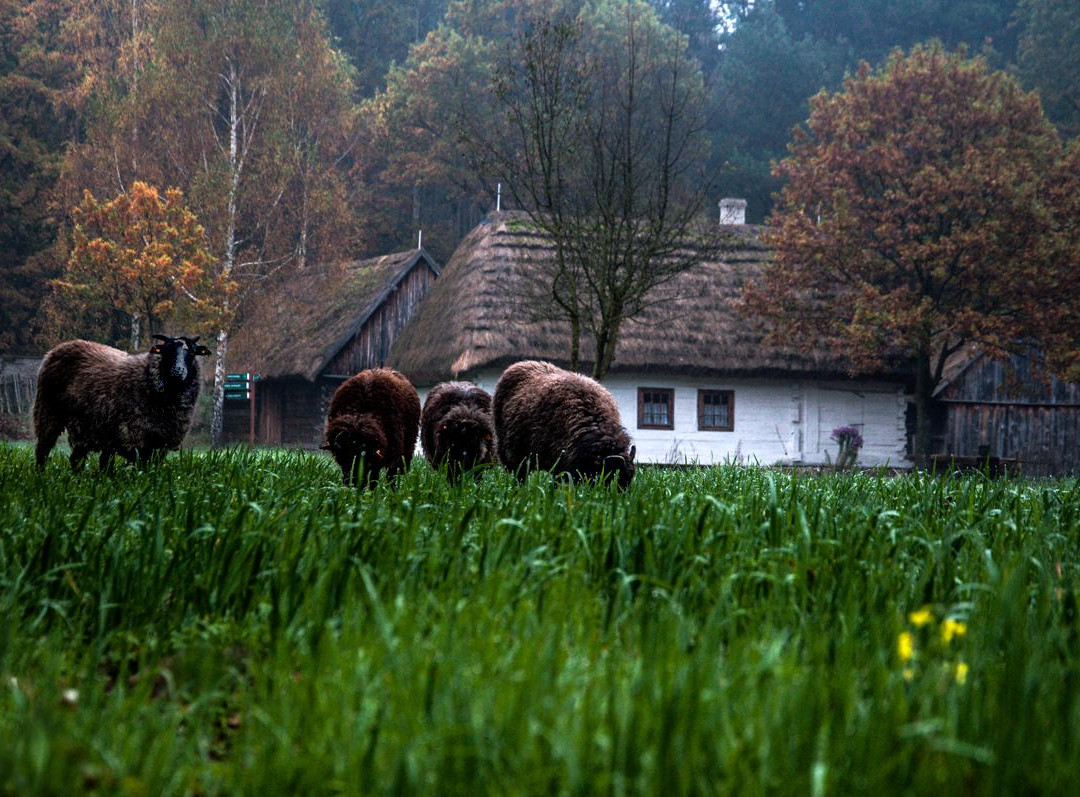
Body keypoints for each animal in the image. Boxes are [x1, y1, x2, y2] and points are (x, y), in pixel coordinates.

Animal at [33, 334, 209, 468]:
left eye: (192, 353)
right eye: (166, 351)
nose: (178, 371)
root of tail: (62, 346)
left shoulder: (161, 441)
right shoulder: (133, 435)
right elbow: (138, 465)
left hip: (86, 427)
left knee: (77, 459)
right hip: (48, 412)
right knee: (43, 449)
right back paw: (40, 474)